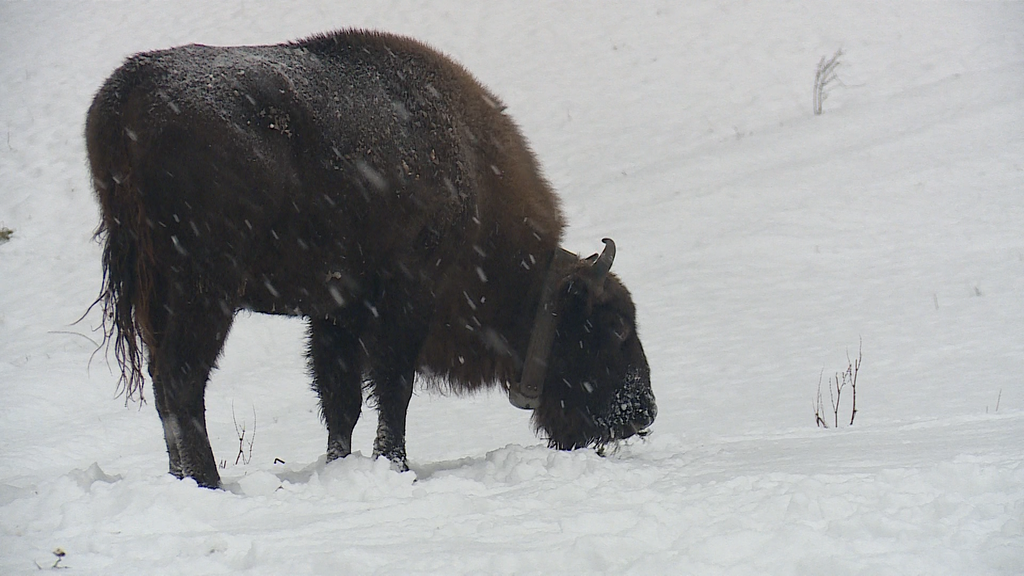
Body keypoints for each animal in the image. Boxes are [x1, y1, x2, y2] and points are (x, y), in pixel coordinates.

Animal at [88, 29, 655, 485]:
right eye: (615, 327)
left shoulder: (335, 314)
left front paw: (341, 465)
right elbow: (392, 390)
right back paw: (209, 483)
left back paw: (181, 478)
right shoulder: (405, 302)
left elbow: (342, 402)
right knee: (183, 382)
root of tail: (125, 94)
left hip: (158, 299)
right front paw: (396, 465)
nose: (643, 413)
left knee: (164, 386)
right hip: (206, 292)